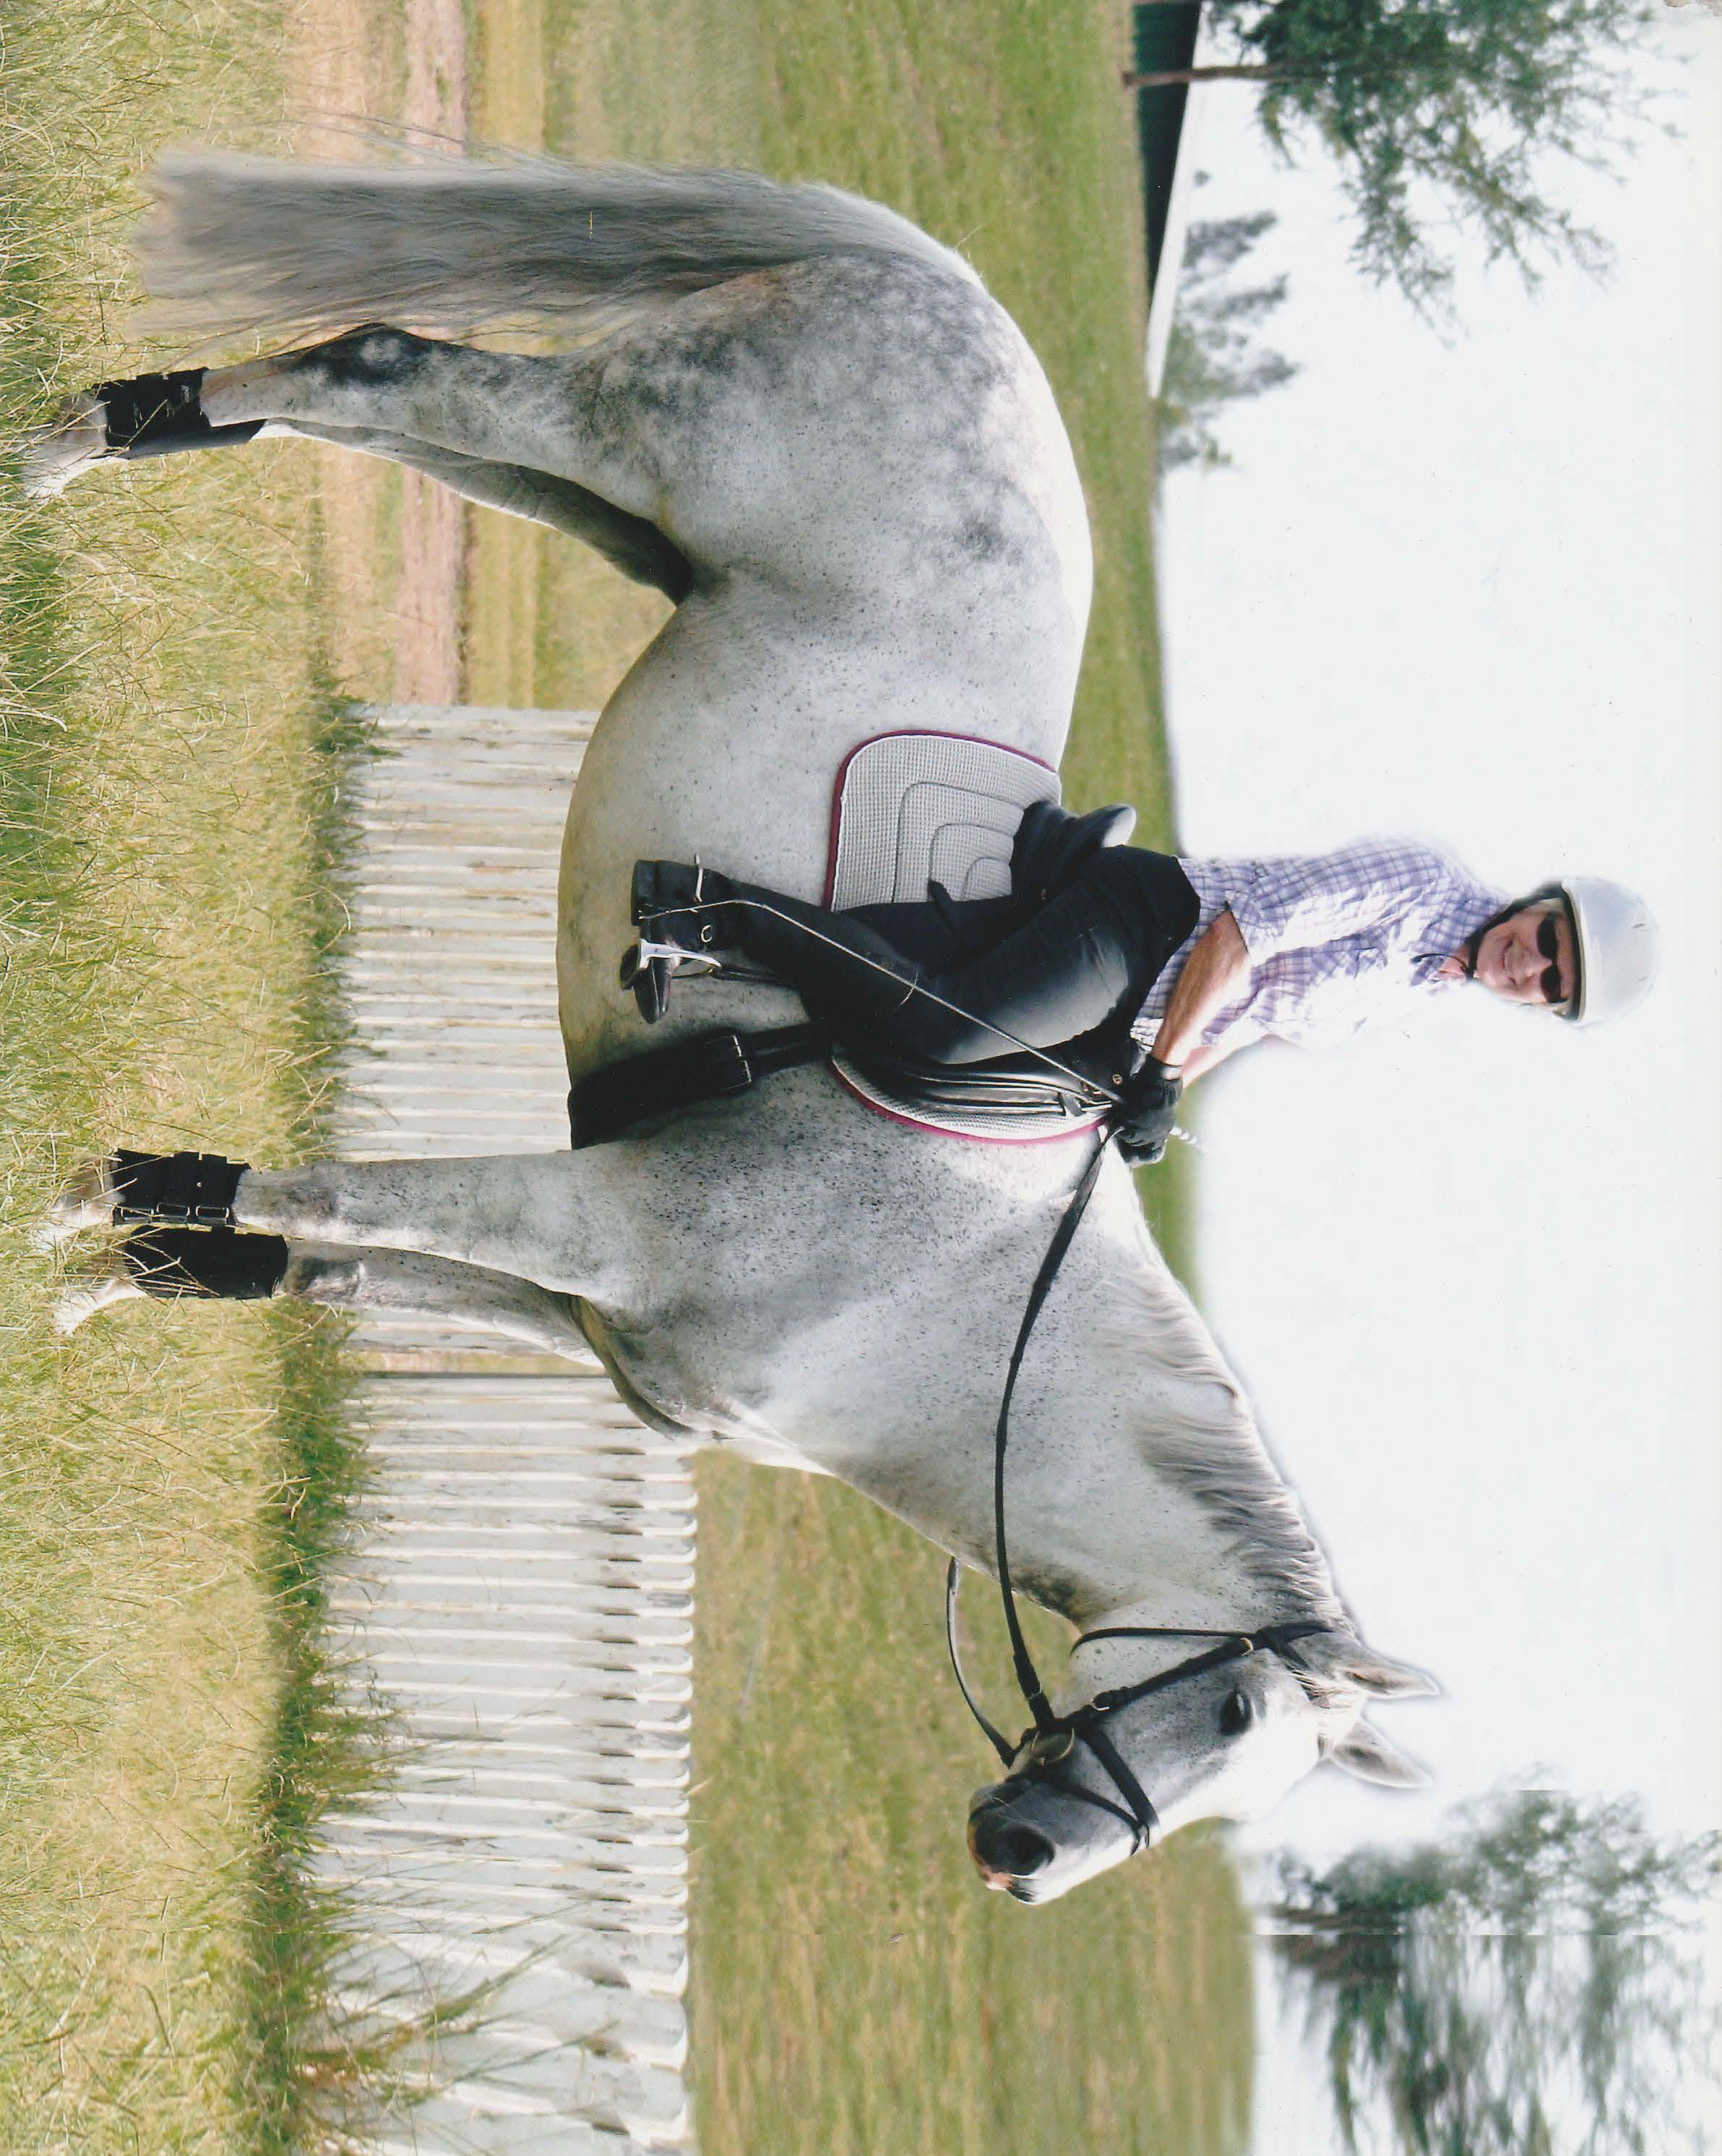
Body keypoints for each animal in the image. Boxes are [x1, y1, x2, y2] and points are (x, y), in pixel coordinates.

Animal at [30, 150, 1435, 1905]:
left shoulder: (587, 1309)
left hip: (619, 517)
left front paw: (122, 1274)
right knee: (388, 366)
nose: (1022, 1857)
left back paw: (118, 434)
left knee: (379, 406)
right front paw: (89, 1212)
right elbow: (333, 1197)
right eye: (1232, 1708)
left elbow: (309, 1267)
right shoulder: (599, 1220)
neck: (936, 1315)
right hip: (629, 437)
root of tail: (952, 291)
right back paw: (67, 453)